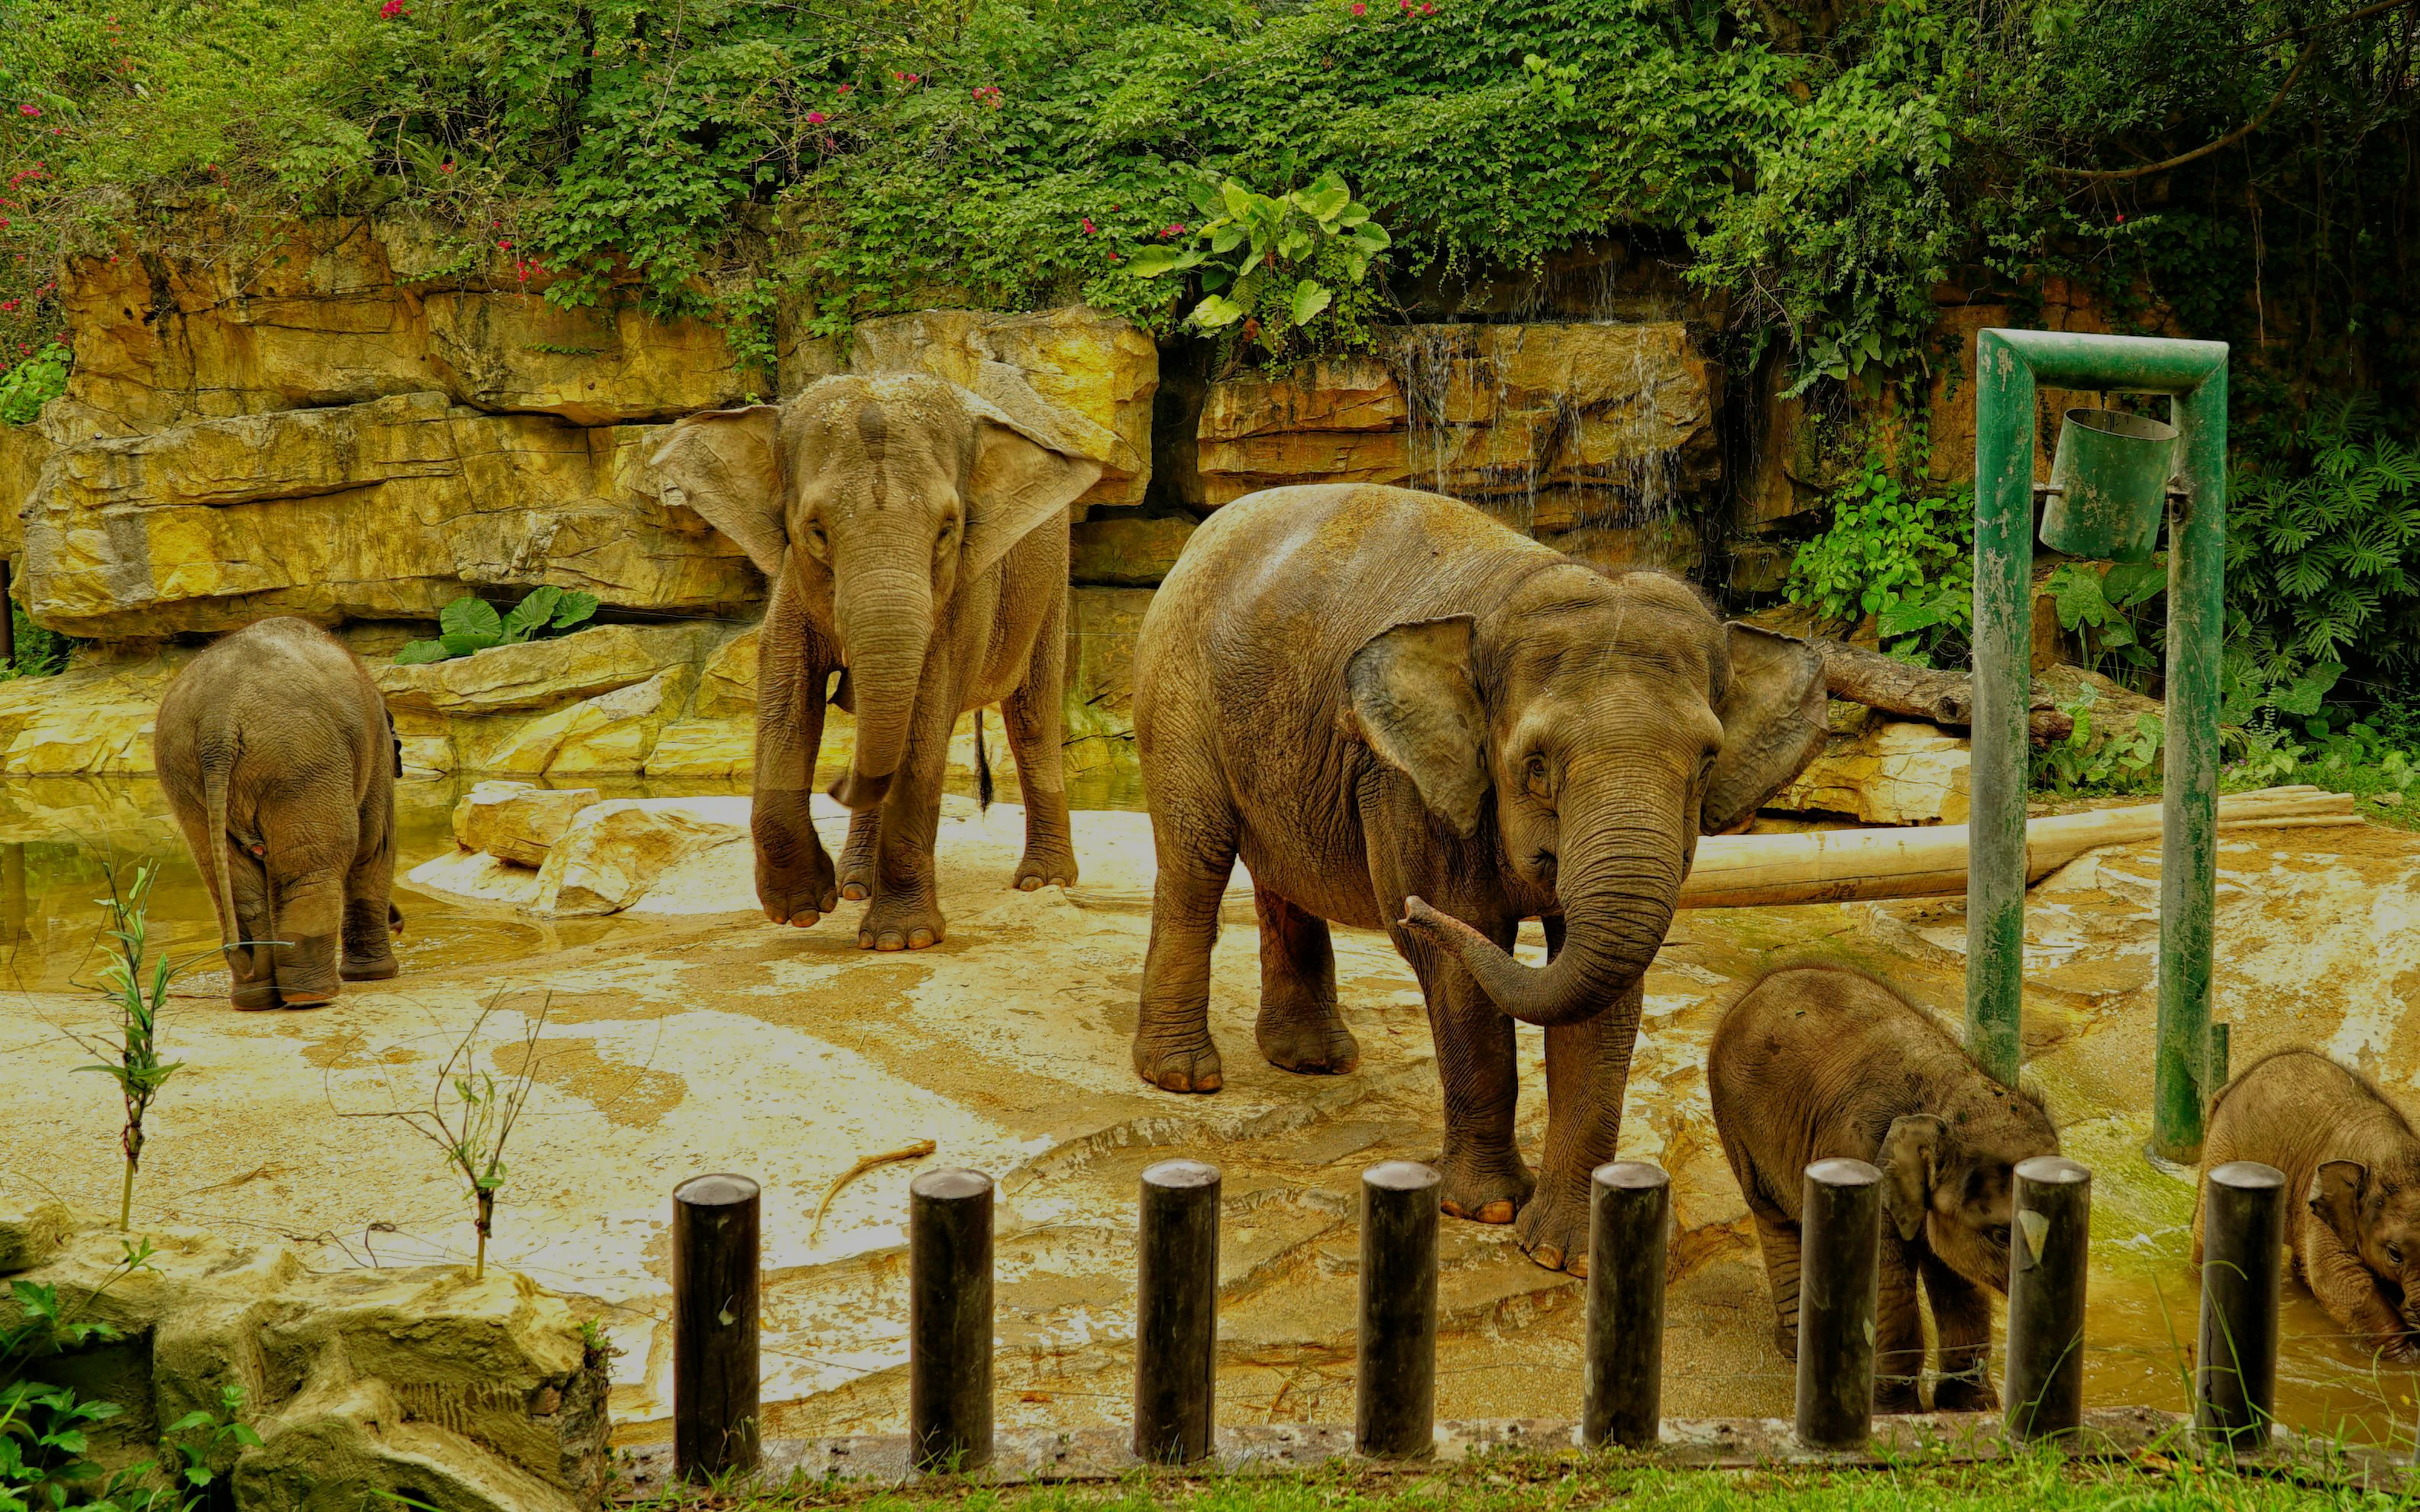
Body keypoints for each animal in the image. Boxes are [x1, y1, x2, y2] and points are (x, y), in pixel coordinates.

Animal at [153, 617, 403, 1009]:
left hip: (185, 776)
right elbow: (375, 845)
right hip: (299, 759)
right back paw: (310, 997)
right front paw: (376, 976)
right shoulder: (375, 751)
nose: (400, 922)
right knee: (311, 867)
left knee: (234, 883)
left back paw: (256, 999)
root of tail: (218, 725)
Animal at [650, 372, 1104, 950]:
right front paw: (802, 911)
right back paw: (852, 887)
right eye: (817, 530)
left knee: (1031, 717)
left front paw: (899, 941)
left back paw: (1041, 882)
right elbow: (786, 691)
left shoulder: (967, 588)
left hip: (1048, 578)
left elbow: (926, 713)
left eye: (947, 530)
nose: (836, 784)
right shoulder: (793, 577)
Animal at [1131, 482, 1831, 1272]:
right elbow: (1461, 965)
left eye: (1707, 762)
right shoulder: (1409, 783)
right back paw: (1184, 1076)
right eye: (1537, 766)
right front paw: (1489, 1209)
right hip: (1176, 686)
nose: (1406, 911)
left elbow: (1604, 992)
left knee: (1282, 873)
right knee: (1197, 857)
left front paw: (1567, 1254)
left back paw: (1313, 1061)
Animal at [1708, 965, 2059, 1412]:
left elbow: (1956, 1278)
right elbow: (1888, 1279)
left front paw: (1971, 1407)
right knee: (1774, 1216)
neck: (1947, 1094)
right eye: (2000, 1234)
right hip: (1741, 1130)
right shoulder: (1859, 1154)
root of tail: (1748, 994)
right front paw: (1897, 1414)